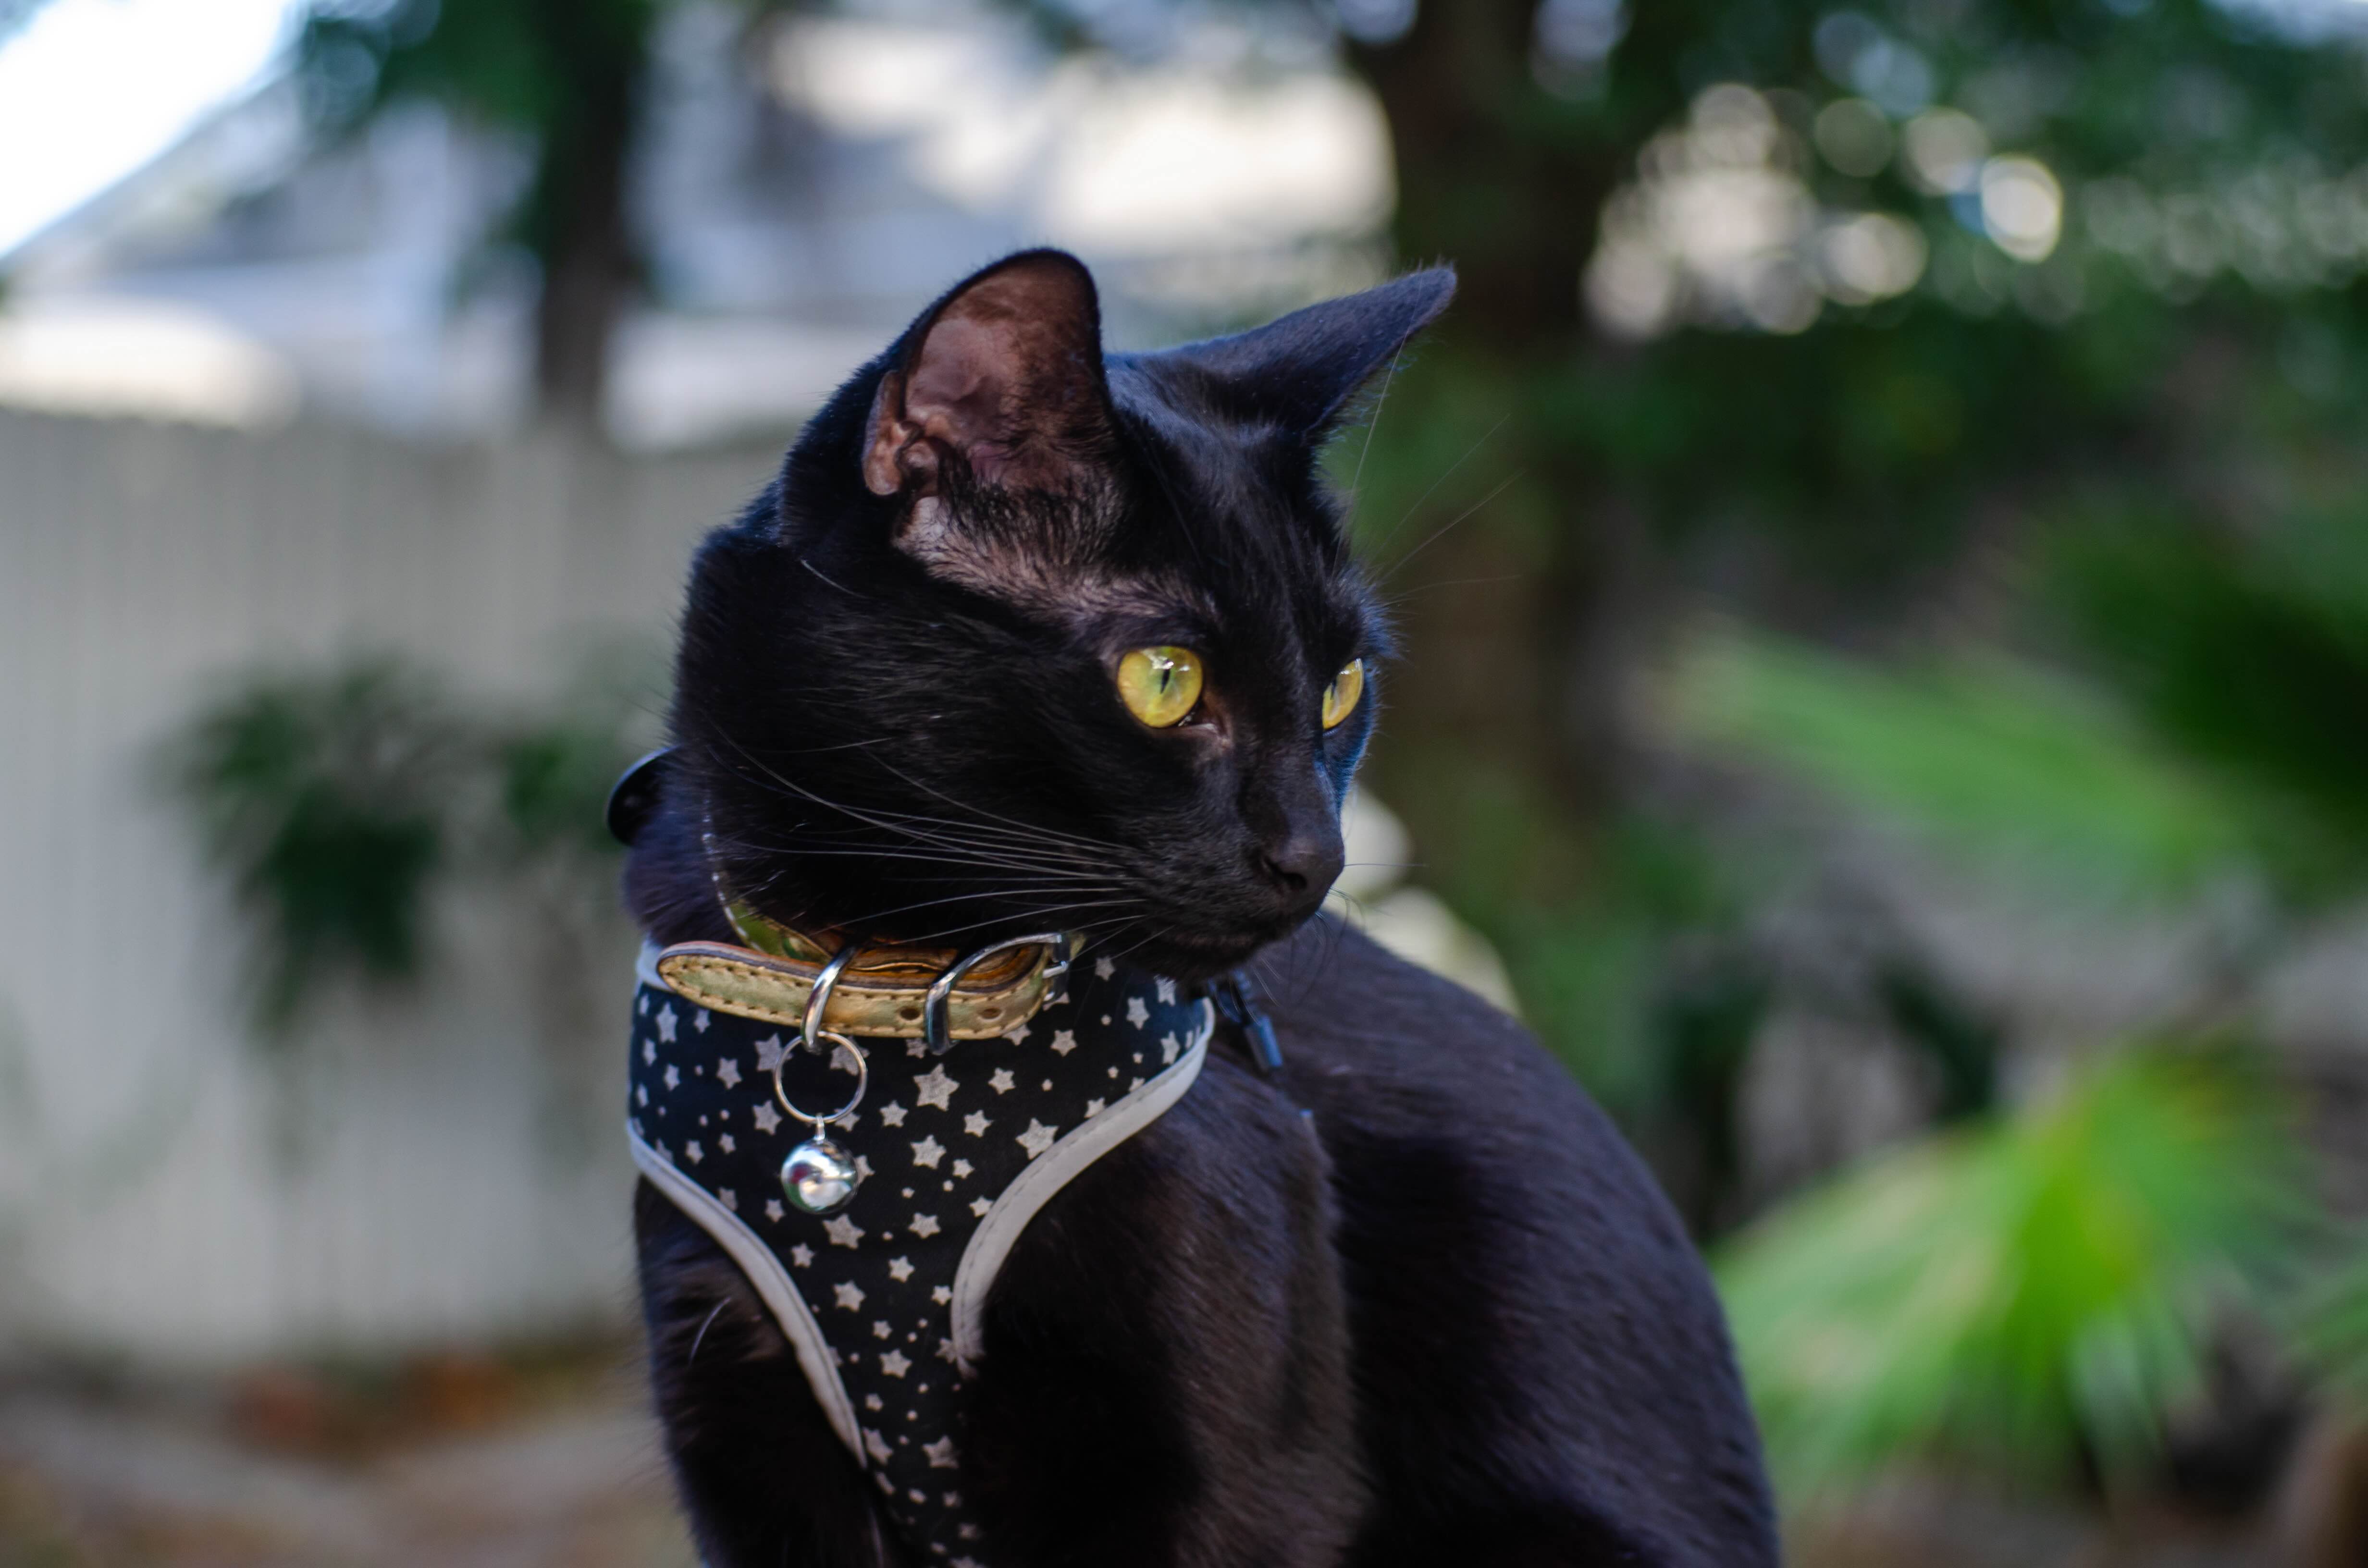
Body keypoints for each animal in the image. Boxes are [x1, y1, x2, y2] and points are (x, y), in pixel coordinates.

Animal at [620, 252, 1771, 1563]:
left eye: (1342, 686)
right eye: (1165, 682)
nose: (1317, 854)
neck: (879, 995)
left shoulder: (1241, 1455)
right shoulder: (741, 1422)